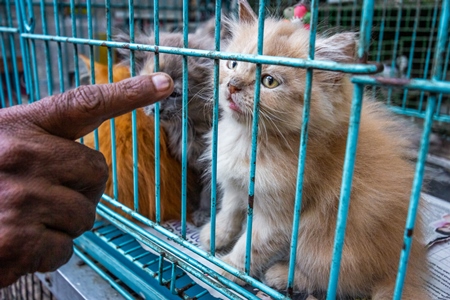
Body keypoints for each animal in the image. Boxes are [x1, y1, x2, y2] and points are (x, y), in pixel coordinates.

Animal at [200, 1, 428, 298]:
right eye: (233, 63)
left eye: (269, 81)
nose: (232, 85)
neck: (249, 140)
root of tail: (398, 267)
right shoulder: (238, 188)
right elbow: (229, 213)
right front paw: (214, 235)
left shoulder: (279, 217)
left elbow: (250, 247)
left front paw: (227, 268)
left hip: (322, 242)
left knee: (329, 280)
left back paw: (282, 275)